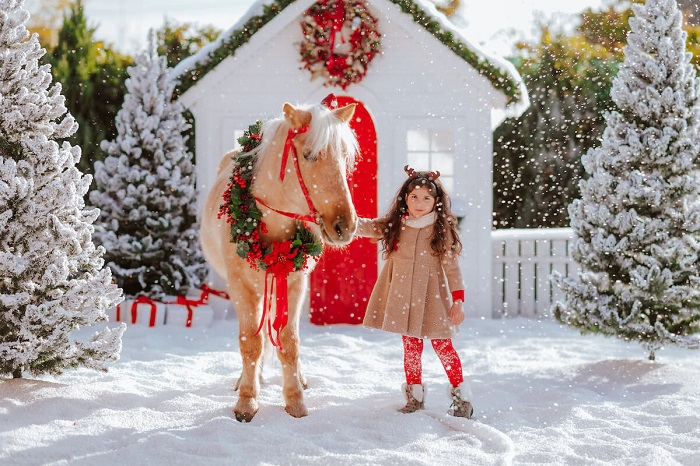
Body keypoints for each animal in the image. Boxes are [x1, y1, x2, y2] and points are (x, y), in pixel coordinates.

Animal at [200, 95, 358, 422]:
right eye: (308, 155)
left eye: (343, 156)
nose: (345, 226)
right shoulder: (241, 288)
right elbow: (251, 343)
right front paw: (247, 401)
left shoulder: (295, 284)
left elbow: (289, 343)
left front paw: (295, 399)